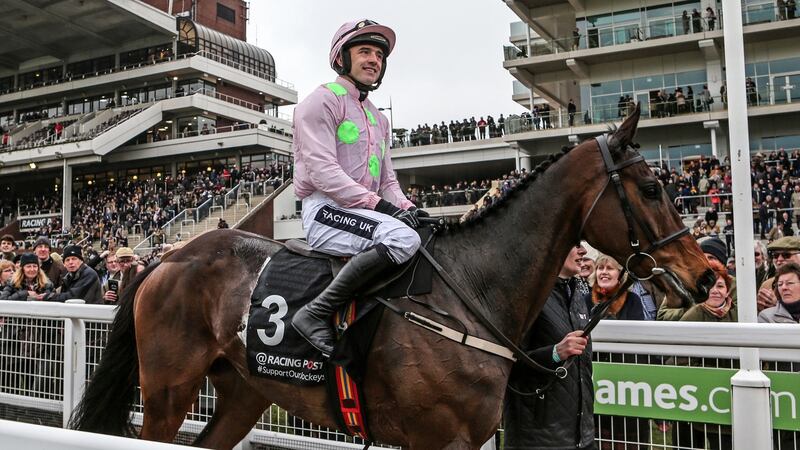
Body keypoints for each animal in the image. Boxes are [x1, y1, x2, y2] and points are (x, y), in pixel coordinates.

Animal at [72, 106, 716, 450]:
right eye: (651, 188)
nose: (707, 277)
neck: (470, 293)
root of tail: (167, 257)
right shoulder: (438, 439)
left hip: (244, 391)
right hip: (167, 391)